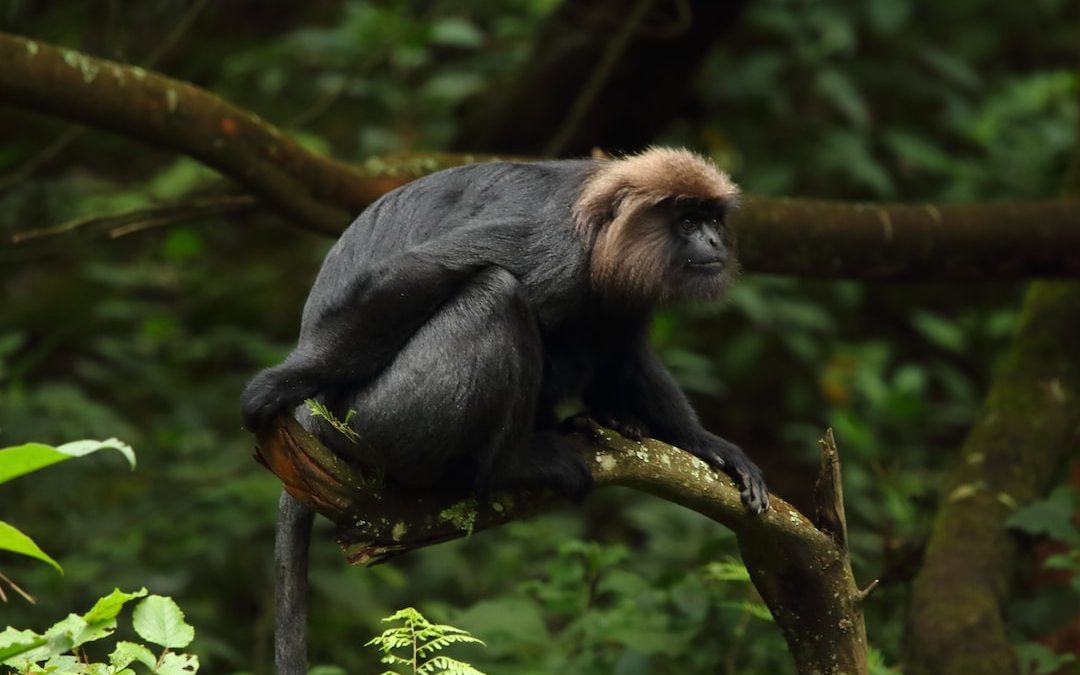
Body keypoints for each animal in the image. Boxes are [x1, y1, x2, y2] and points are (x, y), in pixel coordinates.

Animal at [243, 144, 768, 507]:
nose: (714, 240)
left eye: (712, 219)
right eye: (688, 221)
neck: (598, 225)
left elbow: (624, 353)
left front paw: (706, 444)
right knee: (498, 292)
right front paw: (280, 382)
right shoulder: (552, 245)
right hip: (374, 422)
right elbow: (413, 273)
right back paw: (511, 468)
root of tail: (319, 422)